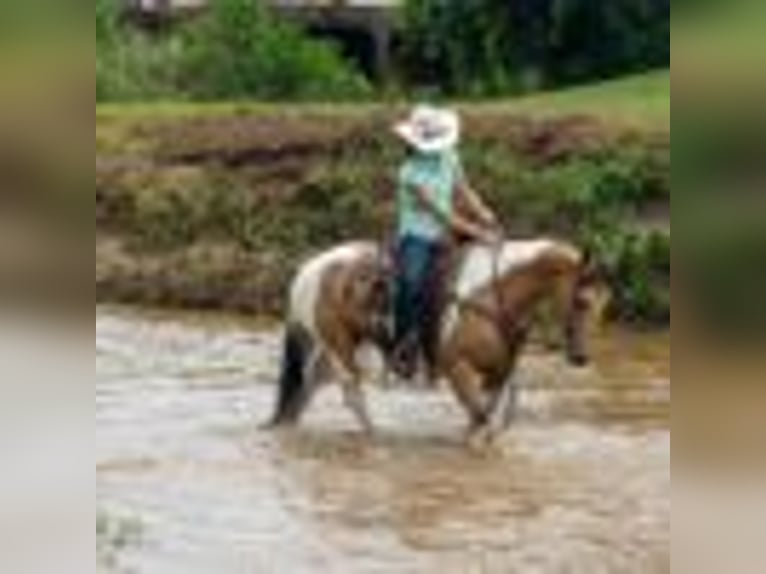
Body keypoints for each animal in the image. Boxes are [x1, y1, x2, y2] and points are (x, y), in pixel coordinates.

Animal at [266, 238, 603, 446]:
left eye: (602, 305)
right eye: (582, 302)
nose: (581, 357)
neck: (492, 296)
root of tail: (308, 269)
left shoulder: (498, 374)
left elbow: (482, 418)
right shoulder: (457, 368)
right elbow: (481, 420)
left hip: (329, 348)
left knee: (306, 388)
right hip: (338, 344)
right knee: (351, 394)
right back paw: (375, 436)